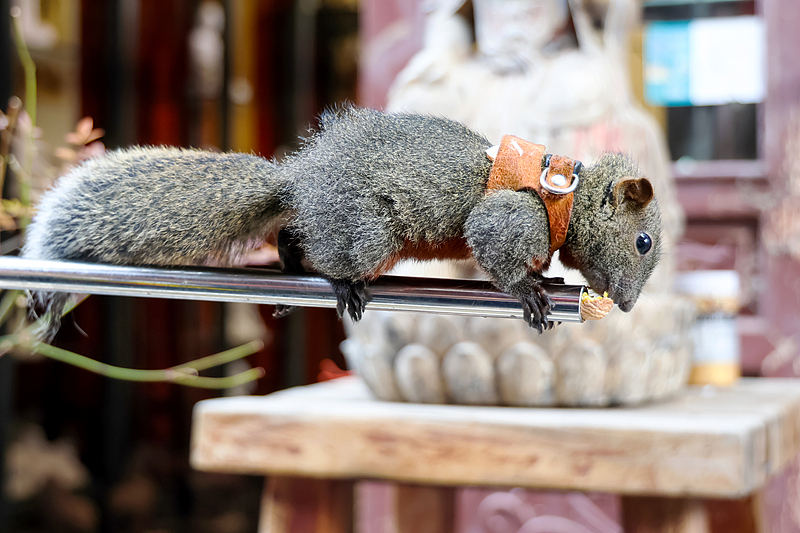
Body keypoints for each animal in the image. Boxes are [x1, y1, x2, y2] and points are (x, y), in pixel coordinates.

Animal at [23, 105, 664, 336]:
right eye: (642, 241)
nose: (630, 305)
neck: (565, 199)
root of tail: (298, 179)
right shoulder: (514, 217)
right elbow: (494, 246)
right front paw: (530, 292)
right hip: (367, 234)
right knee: (330, 251)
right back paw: (336, 283)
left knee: (290, 233)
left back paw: (288, 270)